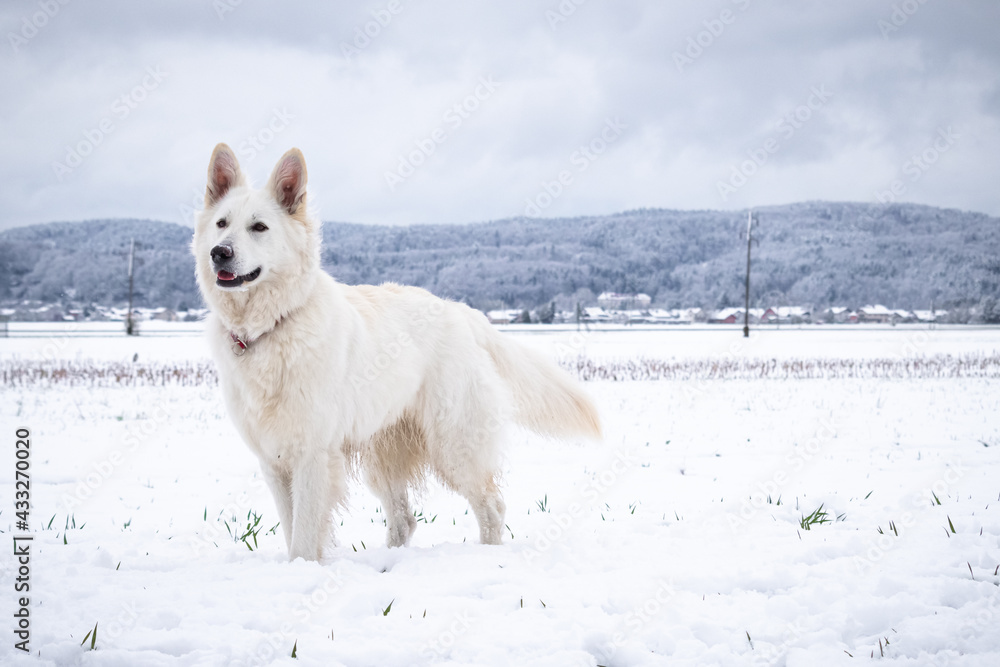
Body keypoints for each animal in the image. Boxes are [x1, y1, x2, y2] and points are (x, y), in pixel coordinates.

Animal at [194, 144, 600, 560]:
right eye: (222, 223)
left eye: (259, 227)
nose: (219, 252)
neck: (273, 324)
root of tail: (459, 311)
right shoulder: (273, 461)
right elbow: (291, 528)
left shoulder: (312, 456)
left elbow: (305, 536)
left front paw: (303, 566)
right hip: (383, 453)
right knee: (405, 519)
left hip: (455, 447)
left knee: (492, 505)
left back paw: (486, 555)